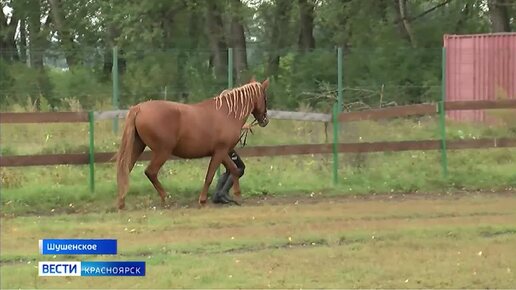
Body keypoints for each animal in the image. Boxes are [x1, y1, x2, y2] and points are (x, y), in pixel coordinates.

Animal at [114, 77, 270, 208]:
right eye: (265, 97)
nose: (265, 120)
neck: (228, 114)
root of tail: (138, 108)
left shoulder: (222, 152)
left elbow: (233, 170)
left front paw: (235, 196)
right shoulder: (220, 151)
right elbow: (211, 175)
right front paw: (203, 200)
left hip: (138, 147)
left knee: (126, 170)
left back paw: (121, 202)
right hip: (162, 151)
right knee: (150, 172)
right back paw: (166, 199)